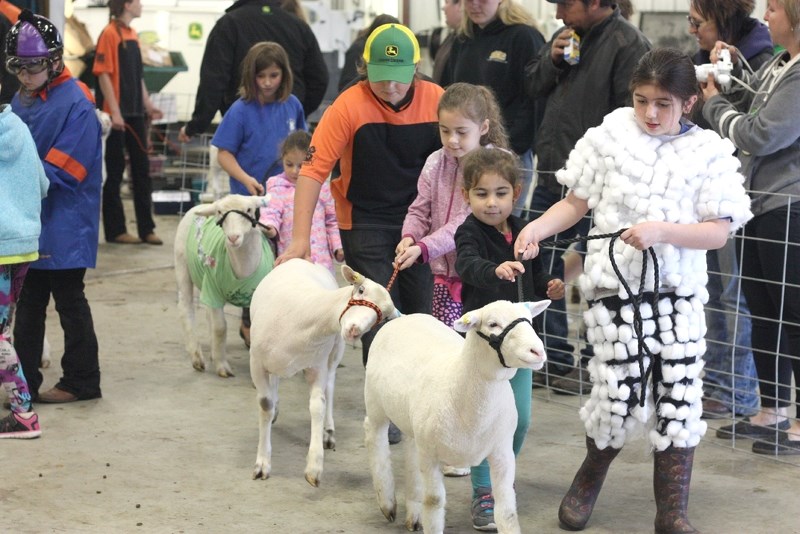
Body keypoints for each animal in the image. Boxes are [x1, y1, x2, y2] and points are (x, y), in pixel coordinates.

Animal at [173, 195, 274, 378]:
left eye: (249, 210)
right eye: (220, 212)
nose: (233, 238)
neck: (243, 268)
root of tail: (199, 206)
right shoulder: (213, 290)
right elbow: (220, 328)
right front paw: (222, 367)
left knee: (207, 315)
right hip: (182, 263)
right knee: (185, 307)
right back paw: (197, 357)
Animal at [248, 260, 396, 490]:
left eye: (383, 317)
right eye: (361, 290)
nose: (354, 330)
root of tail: (302, 261)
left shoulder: (316, 366)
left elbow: (318, 406)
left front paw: (314, 468)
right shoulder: (257, 363)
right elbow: (265, 404)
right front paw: (262, 464)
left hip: (334, 351)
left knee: (330, 385)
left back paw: (328, 432)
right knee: (275, 383)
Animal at [364, 302, 548, 534]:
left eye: (530, 321)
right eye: (493, 324)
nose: (538, 351)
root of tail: (404, 316)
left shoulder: (502, 453)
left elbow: (507, 511)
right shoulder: (431, 456)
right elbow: (434, 501)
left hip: (415, 426)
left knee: (411, 454)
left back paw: (414, 514)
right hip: (375, 402)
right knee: (375, 438)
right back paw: (387, 502)